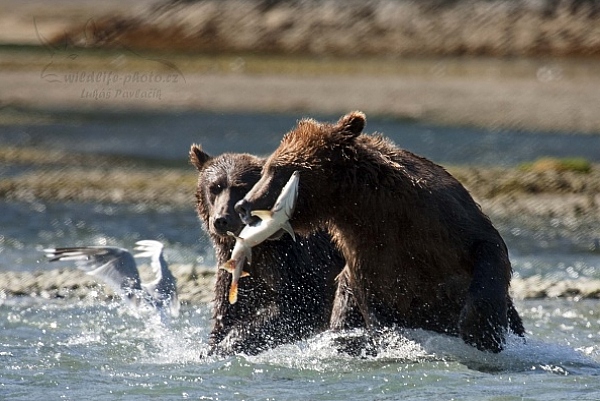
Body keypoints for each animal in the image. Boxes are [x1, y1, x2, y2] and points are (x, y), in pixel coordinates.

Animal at [188, 143, 346, 354]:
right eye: (214, 188)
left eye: (242, 188)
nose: (221, 220)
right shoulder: (238, 268)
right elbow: (228, 310)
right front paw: (211, 346)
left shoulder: (299, 258)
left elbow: (302, 304)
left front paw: (226, 345)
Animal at [234, 111, 524, 352]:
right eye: (267, 170)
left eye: (276, 170)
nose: (243, 205)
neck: (368, 207)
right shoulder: (365, 252)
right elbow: (372, 300)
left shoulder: (438, 218)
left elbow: (487, 247)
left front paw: (481, 331)